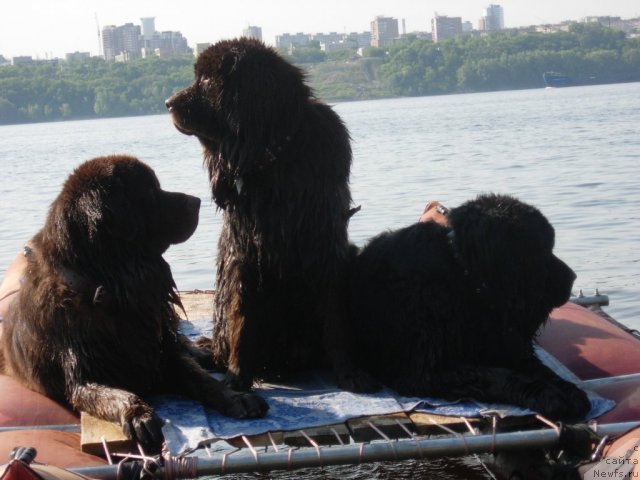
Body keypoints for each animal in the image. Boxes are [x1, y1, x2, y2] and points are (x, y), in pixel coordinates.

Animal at [0, 156, 268, 452]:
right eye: (150, 193)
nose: (197, 201)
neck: (109, 288)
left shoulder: (160, 351)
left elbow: (199, 377)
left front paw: (235, 397)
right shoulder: (83, 375)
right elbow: (117, 394)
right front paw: (139, 415)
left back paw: (210, 354)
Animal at [165, 38, 376, 394]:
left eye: (206, 80)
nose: (167, 103)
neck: (272, 157)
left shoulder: (326, 246)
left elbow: (336, 320)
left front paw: (349, 373)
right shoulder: (245, 252)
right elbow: (243, 320)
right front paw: (237, 378)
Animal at [350, 192, 592, 420]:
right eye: (544, 249)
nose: (573, 277)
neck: (462, 276)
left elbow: (539, 368)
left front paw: (567, 389)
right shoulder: (424, 369)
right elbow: (495, 374)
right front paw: (547, 394)